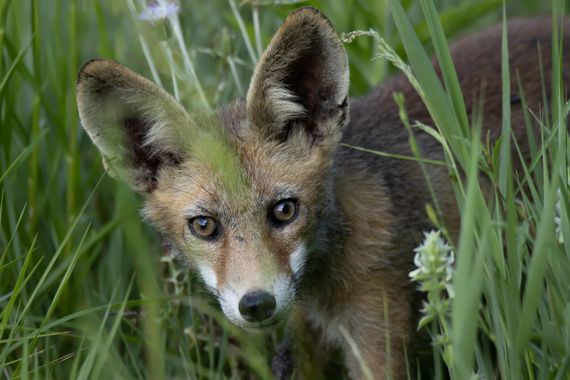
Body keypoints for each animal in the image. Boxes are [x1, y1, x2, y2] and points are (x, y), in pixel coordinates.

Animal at [74, 6, 564, 380]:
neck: (321, 291)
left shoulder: (377, 331)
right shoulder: (301, 336)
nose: (256, 304)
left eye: (284, 210)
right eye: (204, 226)